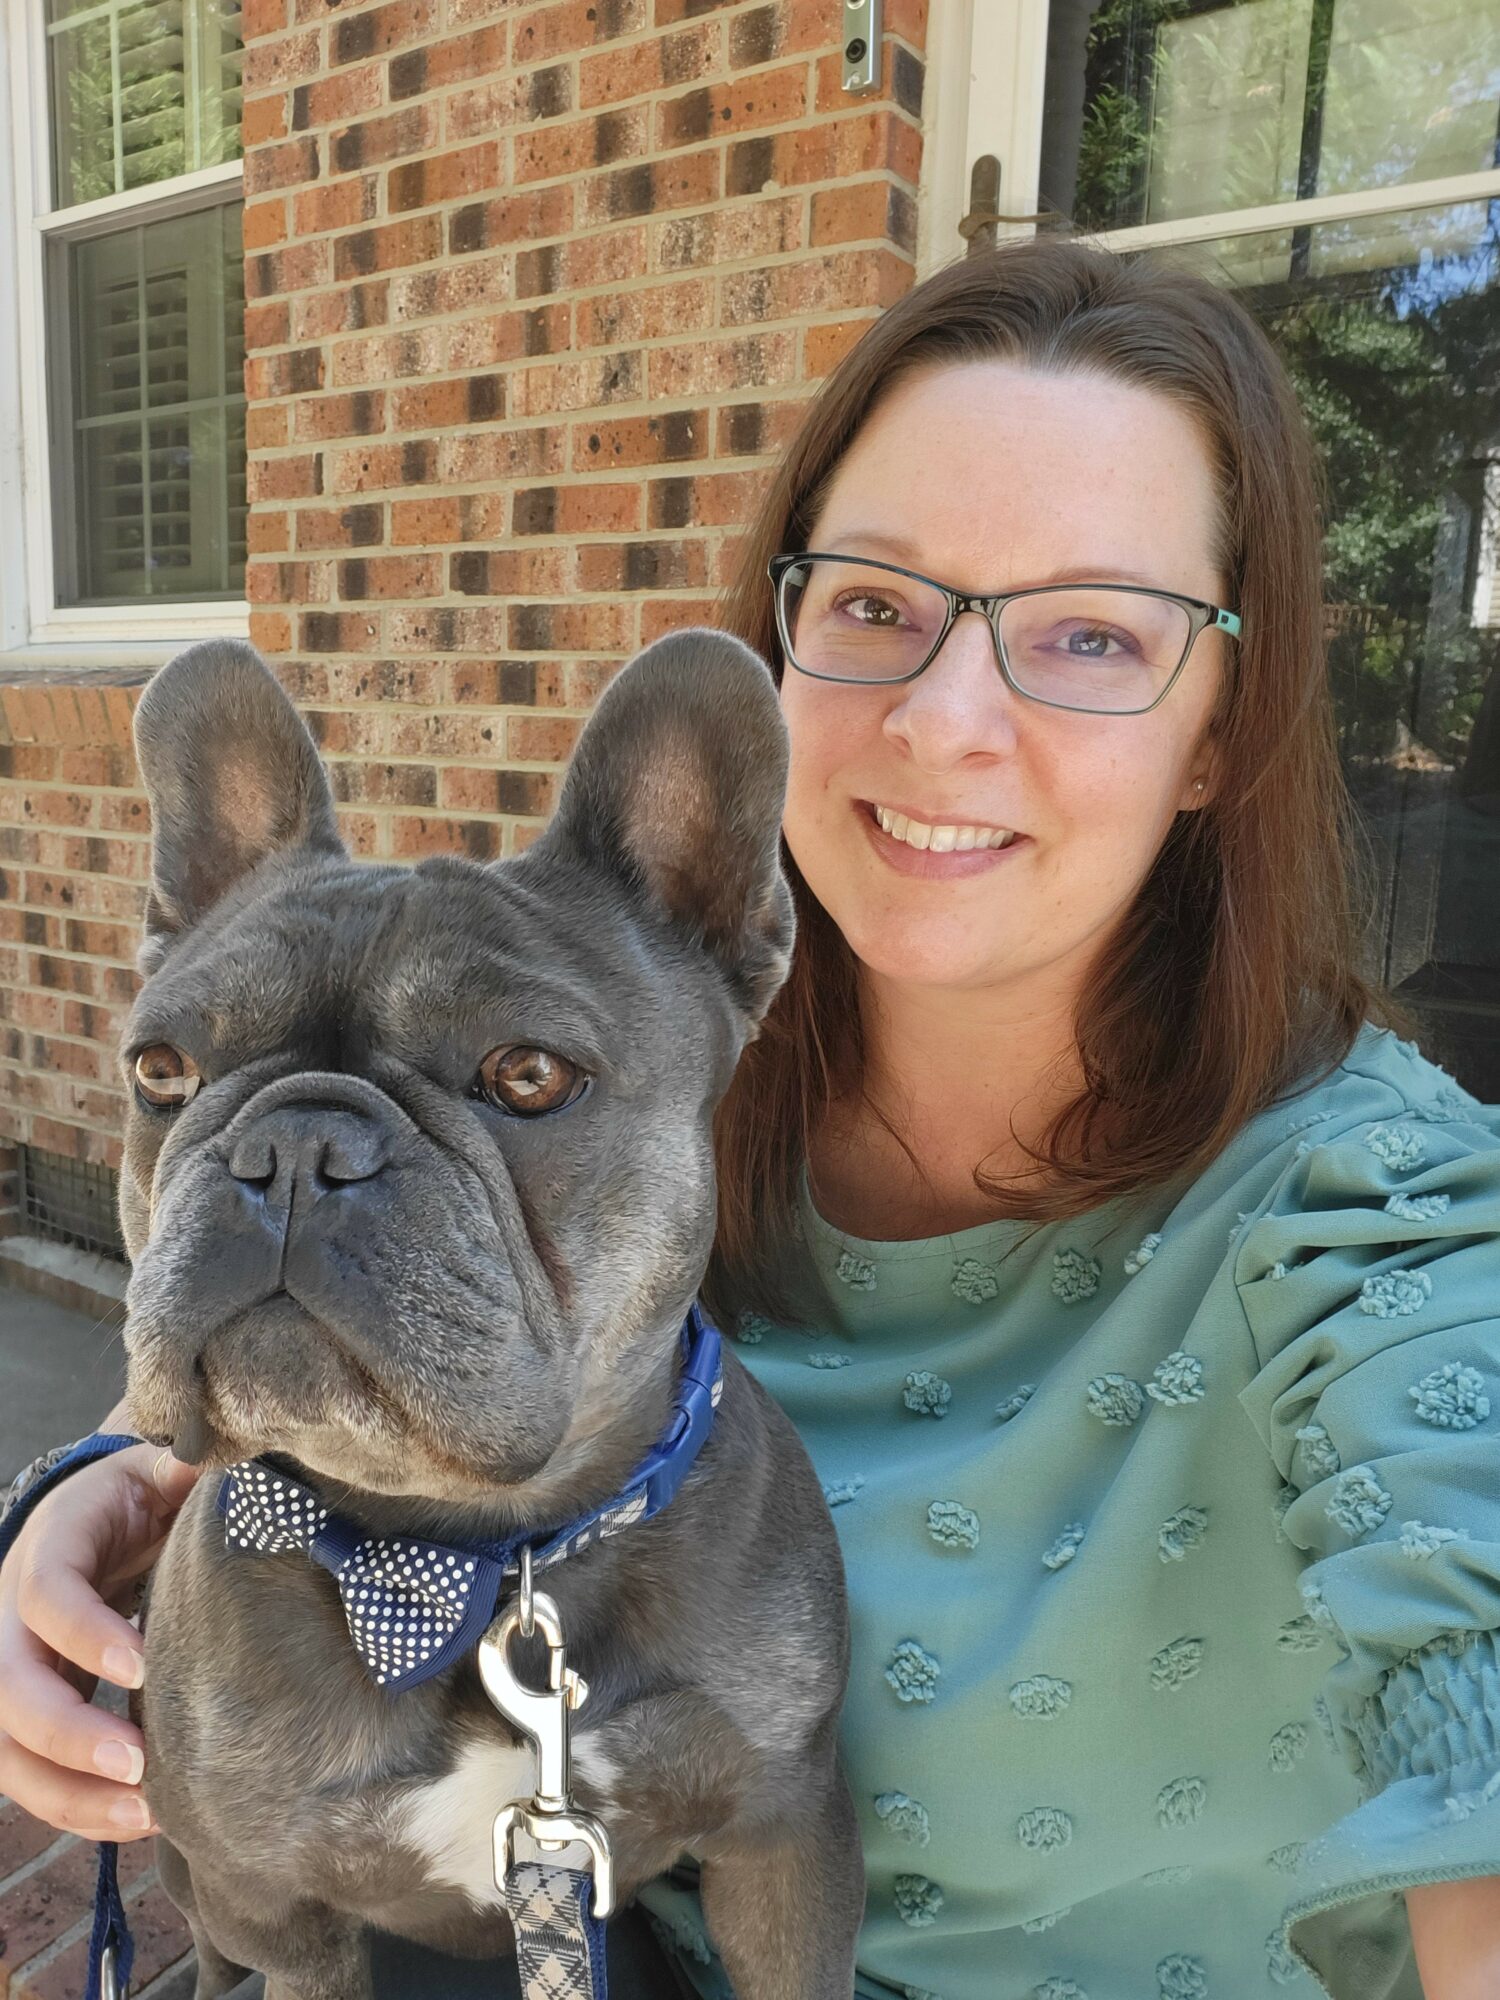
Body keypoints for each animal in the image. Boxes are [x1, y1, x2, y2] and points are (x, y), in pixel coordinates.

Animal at [117, 633, 863, 2000]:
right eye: (161, 1070)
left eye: (528, 1074)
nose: (291, 1145)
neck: (477, 1555)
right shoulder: (280, 1907)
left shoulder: (784, 1844)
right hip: (197, 1874)